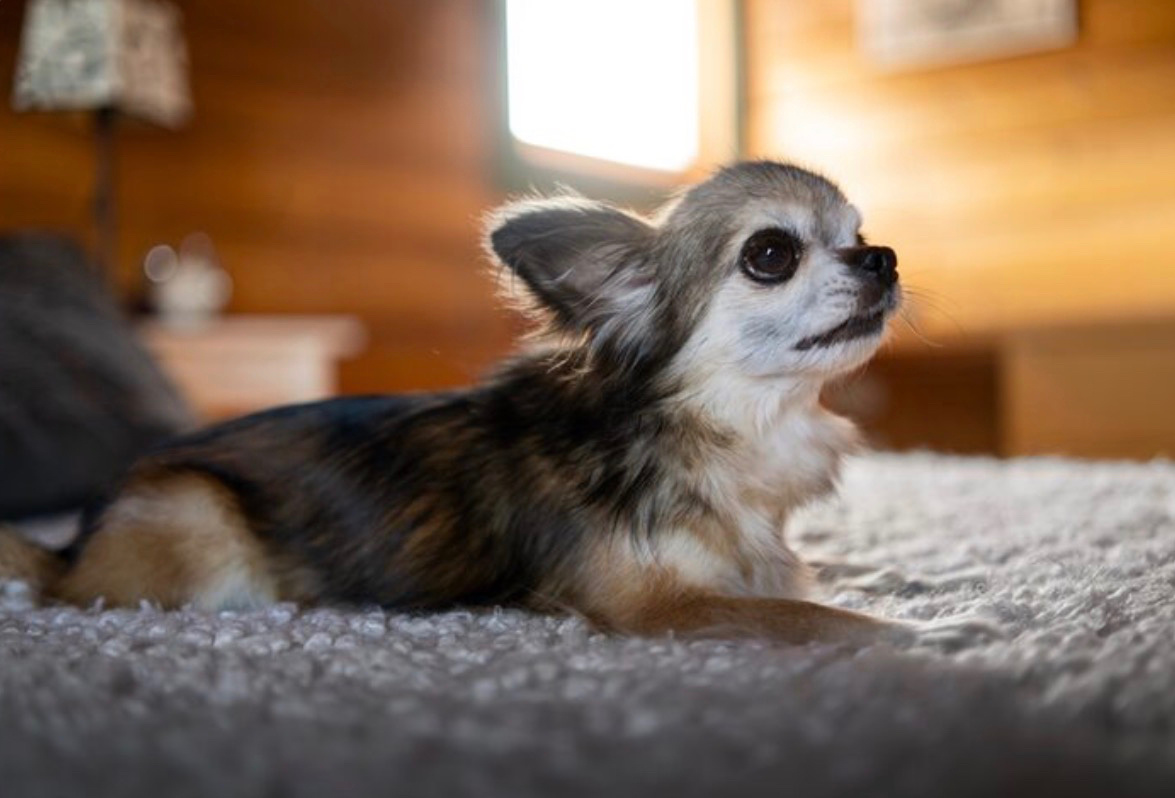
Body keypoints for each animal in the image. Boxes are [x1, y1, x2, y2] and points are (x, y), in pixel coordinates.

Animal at [1, 161, 908, 645]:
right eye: (769, 254)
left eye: (859, 235)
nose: (884, 258)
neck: (726, 431)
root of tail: (70, 552)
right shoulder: (653, 608)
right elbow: (820, 619)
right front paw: (918, 637)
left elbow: (811, 585)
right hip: (196, 513)